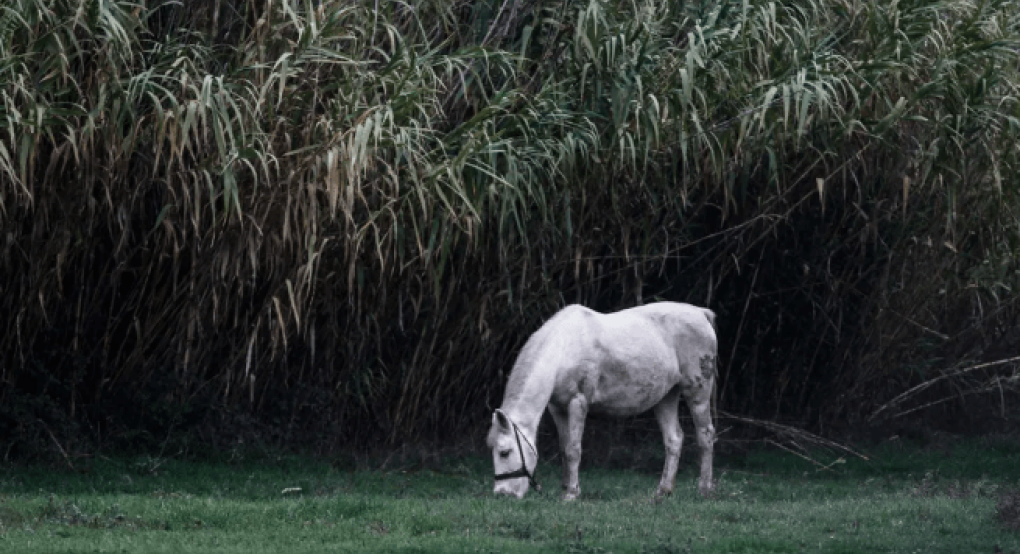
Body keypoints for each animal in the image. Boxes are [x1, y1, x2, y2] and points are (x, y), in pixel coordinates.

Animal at [485, 304, 718, 501]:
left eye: (504, 452)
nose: (502, 494)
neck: (563, 349)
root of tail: (701, 313)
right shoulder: (557, 408)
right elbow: (563, 448)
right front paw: (565, 488)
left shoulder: (577, 403)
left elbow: (573, 449)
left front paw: (571, 494)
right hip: (666, 397)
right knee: (674, 440)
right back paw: (663, 491)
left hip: (698, 391)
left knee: (705, 435)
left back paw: (705, 490)